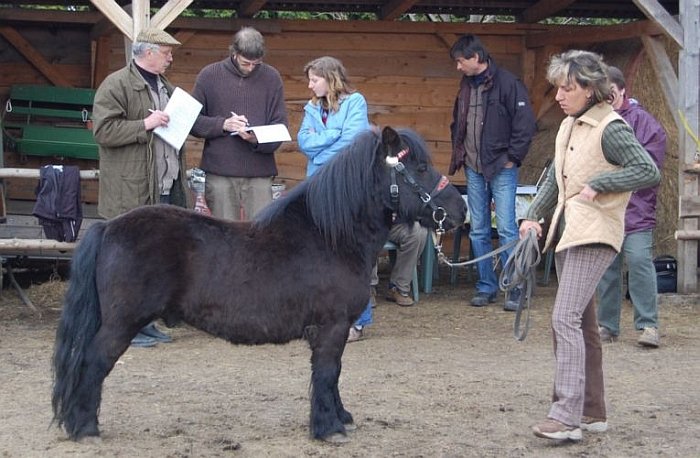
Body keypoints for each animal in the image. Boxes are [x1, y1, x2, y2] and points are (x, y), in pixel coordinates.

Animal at [51, 126, 467, 443]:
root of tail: (108, 227)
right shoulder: (331, 328)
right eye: (420, 166)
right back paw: (85, 429)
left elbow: (333, 376)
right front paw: (328, 428)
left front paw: (341, 417)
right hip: (122, 324)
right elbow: (327, 373)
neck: (329, 236)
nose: (460, 210)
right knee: (93, 362)